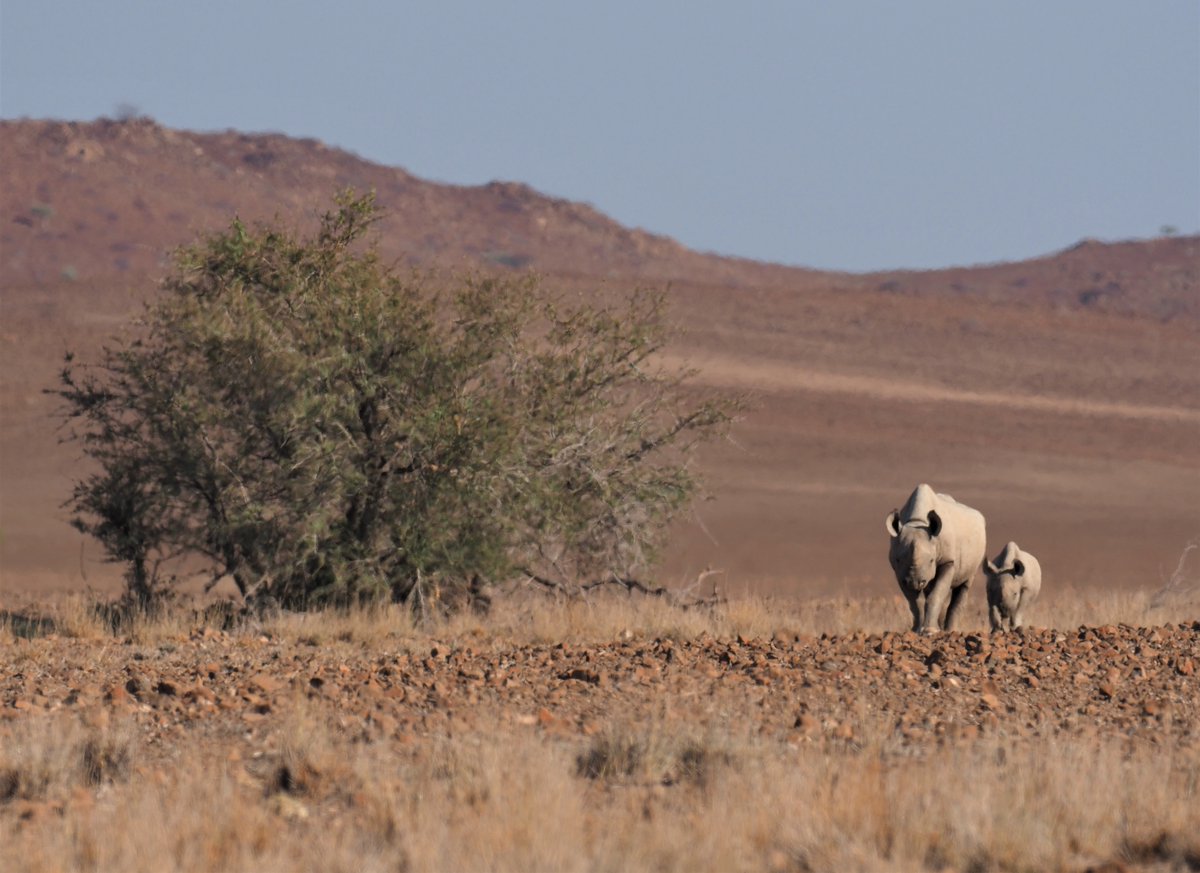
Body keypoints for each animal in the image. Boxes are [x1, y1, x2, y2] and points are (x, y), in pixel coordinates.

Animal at [885, 484, 987, 632]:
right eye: (898, 560)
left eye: (932, 560)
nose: (914, 582)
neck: (917, 521)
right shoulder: (899, 571)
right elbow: (914, 601)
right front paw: (917, 630)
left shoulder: (948, 561)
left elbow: (936, 595)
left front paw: (930, 631)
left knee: (964, 584)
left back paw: (951, 631)